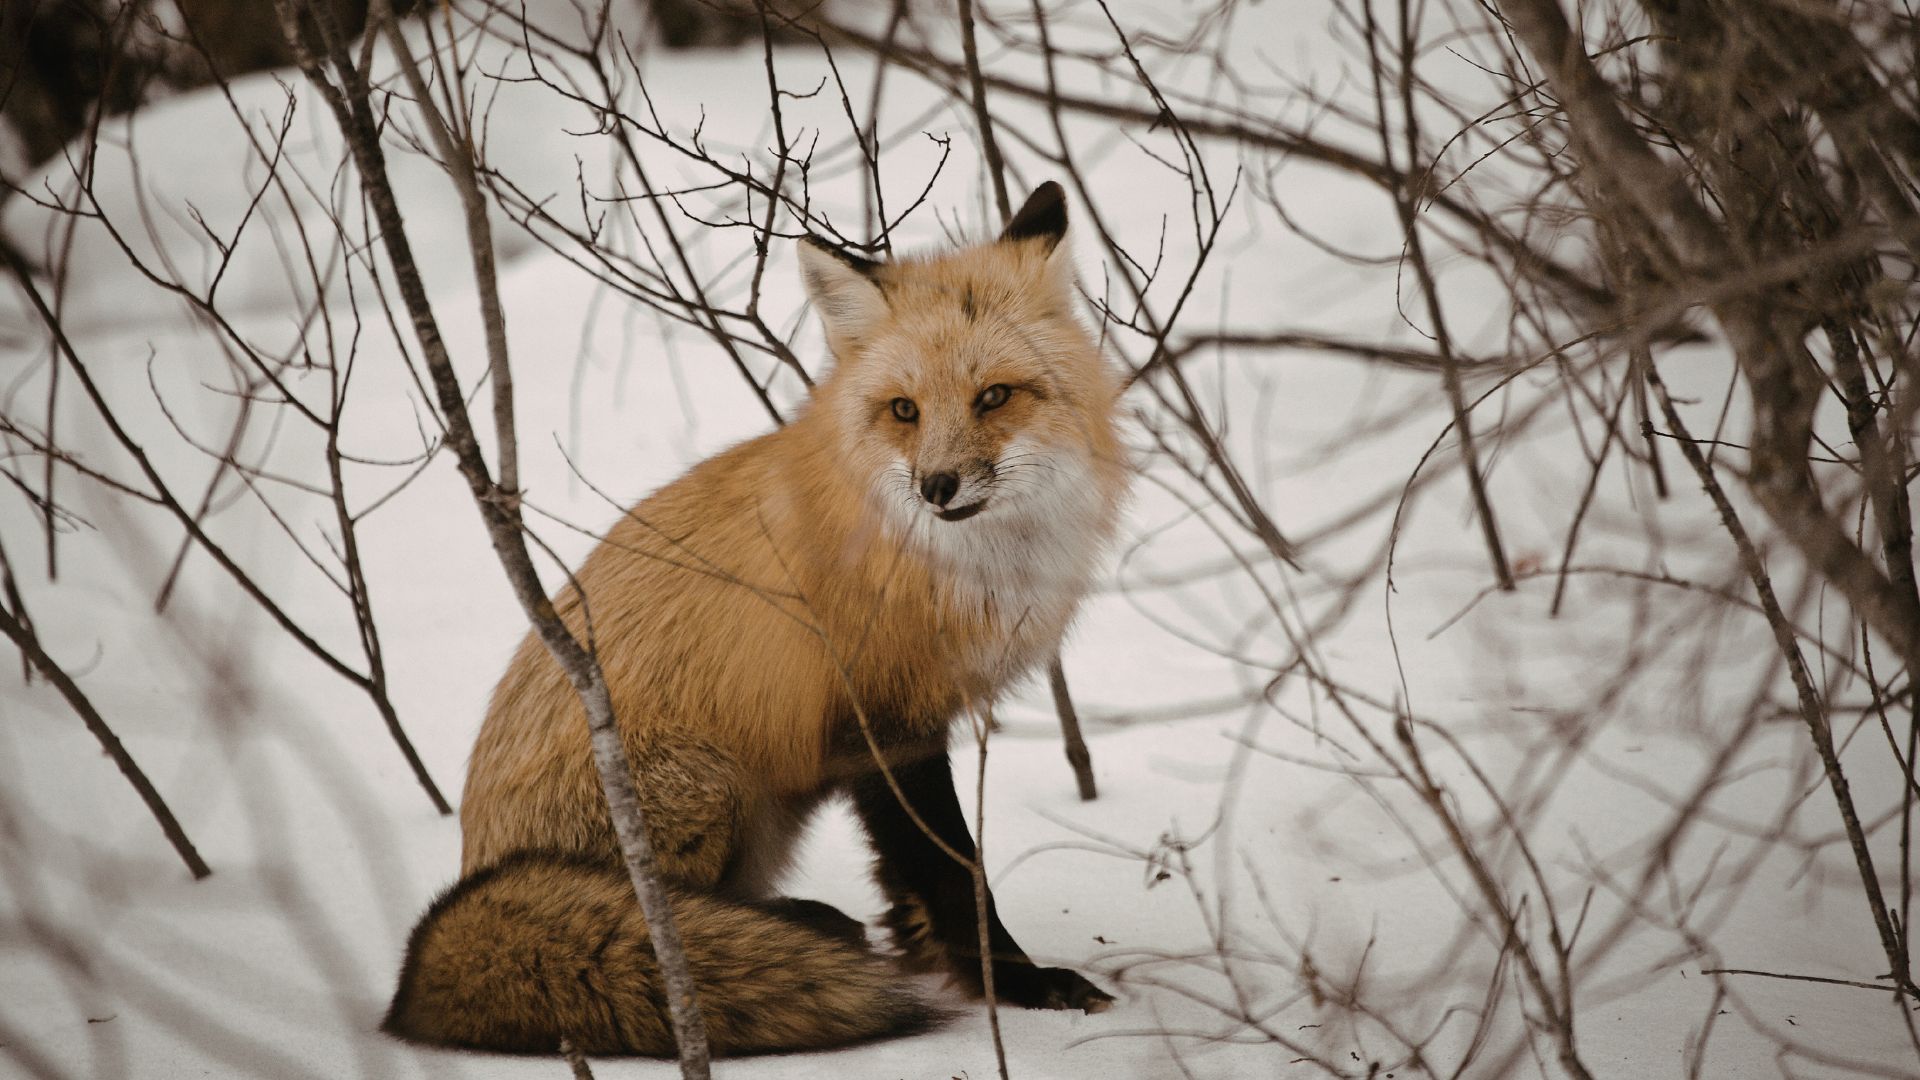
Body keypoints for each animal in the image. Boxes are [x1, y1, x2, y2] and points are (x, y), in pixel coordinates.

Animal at [382, 181, 1131, 1057]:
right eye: (904, 410)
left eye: (995, 397)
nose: (937, 486)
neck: (954, 564)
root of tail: (471, 866)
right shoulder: (884, 725)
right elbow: (955, 869)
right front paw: (1014, 985)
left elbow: (910, 871)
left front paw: (918, 941)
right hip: (712, 781)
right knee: (676, 915)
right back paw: (790, 932)